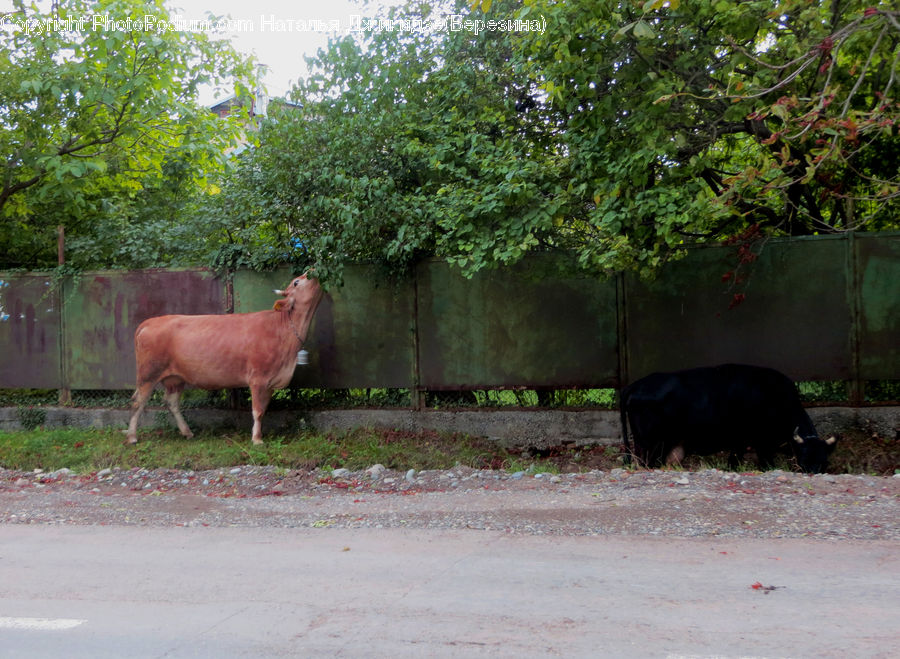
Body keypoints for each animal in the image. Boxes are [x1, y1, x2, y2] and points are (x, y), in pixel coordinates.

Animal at [125, 274, 324, 445]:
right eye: (297, 281)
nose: (313, 270)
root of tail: (150, 322)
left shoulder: (271, 381)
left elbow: (264, 409)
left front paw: (259, 435)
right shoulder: (257, 378)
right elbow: (258, 411)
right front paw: (256, 439)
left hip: (175, 378)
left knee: (172, 402)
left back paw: (187, 432)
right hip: (148, 374)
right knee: (137, 402)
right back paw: (132, 437)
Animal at [619, 364, 837, 473]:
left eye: (824, 461)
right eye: (804, 458)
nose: (812, 473)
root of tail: (636, 384)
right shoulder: (758, 440)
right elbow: (763, 462)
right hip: (651, 442)